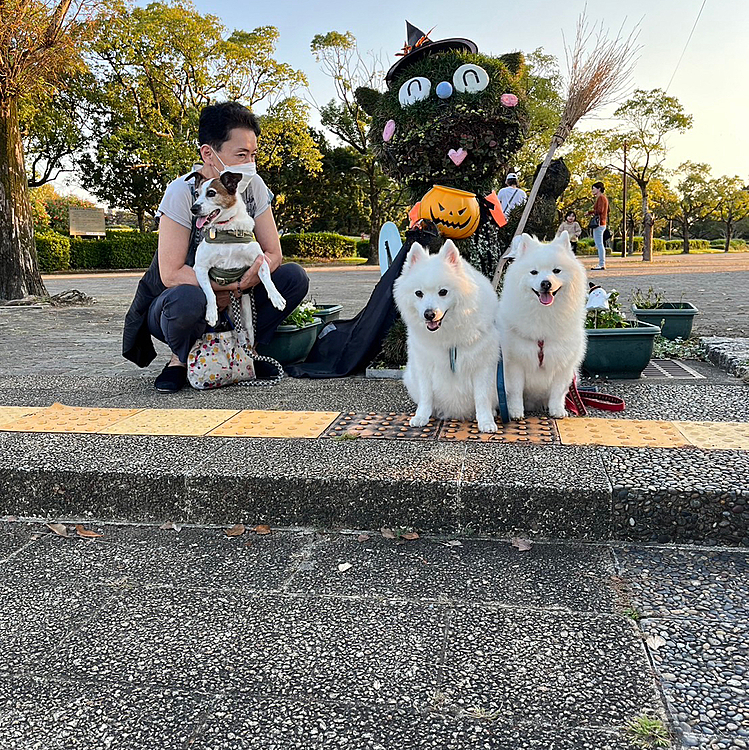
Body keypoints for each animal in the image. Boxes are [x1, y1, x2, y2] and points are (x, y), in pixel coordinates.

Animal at [186, 170, 284, 338]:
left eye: (211, 193)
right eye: (197, 194)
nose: (194, 208)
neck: (226, 229)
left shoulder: (260, 260)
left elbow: (267, 279)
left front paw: (276, 296)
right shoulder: (200, 268)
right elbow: (209, 292)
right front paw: (211, 312)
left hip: (248, 315)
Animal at [392, 241, 502, 434]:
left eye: (443, 292)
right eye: (418, 293)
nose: (429, 314)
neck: (449, 334)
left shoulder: (482, 367)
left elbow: (482, 398)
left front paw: (486, 422)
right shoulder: (424, 366)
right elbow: (426, 395)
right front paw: (421, 417)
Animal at [496, 232, 592, 420]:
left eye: (556, 270)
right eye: (534, 272)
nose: (545, 283)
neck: (544, 315)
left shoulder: (563, 363)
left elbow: (558, 392)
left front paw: (557, 410)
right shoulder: (516, 362)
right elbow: (515, 391)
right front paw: (515, 412)